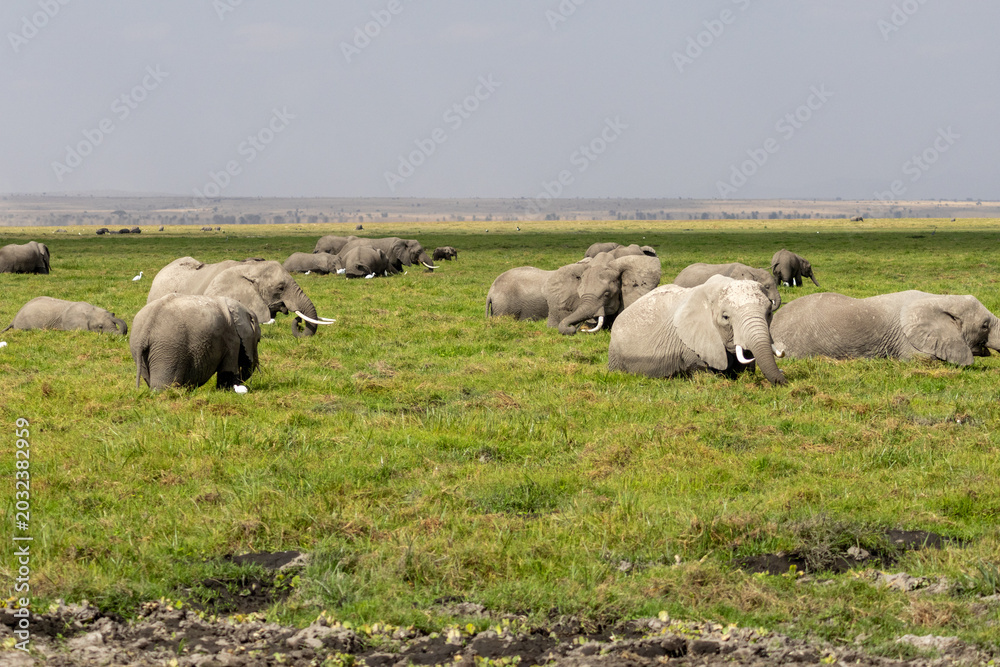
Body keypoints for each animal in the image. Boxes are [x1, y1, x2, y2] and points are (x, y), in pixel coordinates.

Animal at [131, 294, 260, 390]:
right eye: (258, 340)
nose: (244, 384)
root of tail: (148, 324)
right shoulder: (232, 339)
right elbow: (228, 369)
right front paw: (227, 390)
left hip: (138, 348)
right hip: (168, 349)